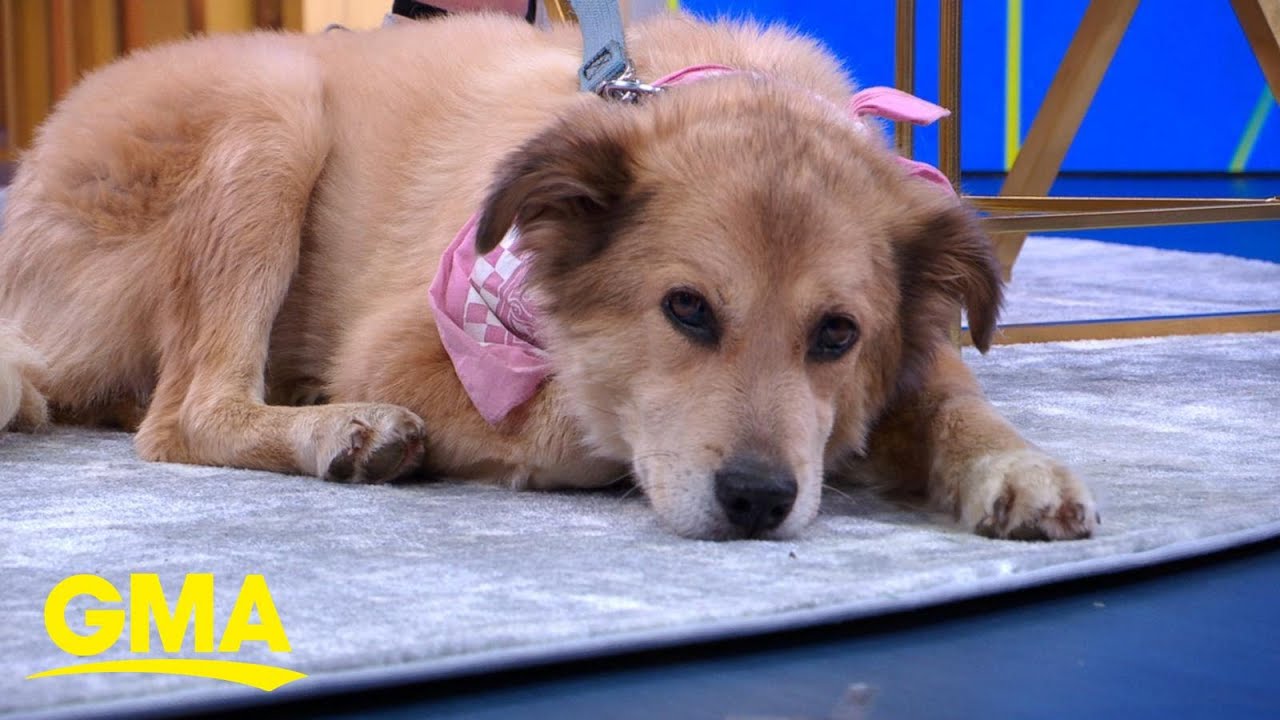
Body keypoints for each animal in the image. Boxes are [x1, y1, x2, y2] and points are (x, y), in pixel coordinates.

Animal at [0, 12, 1096, 540]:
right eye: (686, 309)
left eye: (837, 333)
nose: (756, 500)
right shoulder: (409, 345)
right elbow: (585, 417)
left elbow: (947, 396)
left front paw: (1011, 464)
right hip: (273, 112)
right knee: (184, 414)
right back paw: (337, 427)